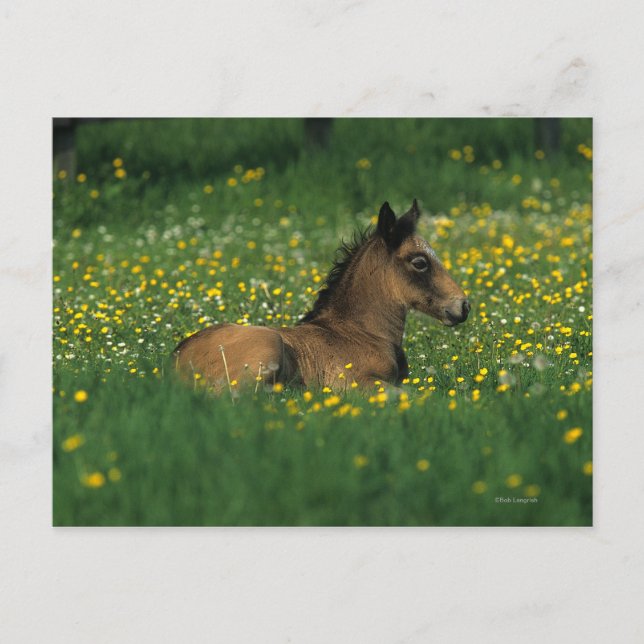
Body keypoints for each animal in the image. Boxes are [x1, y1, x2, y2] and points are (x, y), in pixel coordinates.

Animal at [173, 200, 470, 391]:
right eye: (419, 262)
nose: (463, 305)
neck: (362, 332)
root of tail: (175, 362)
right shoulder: (354, 383)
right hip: (267, 346)